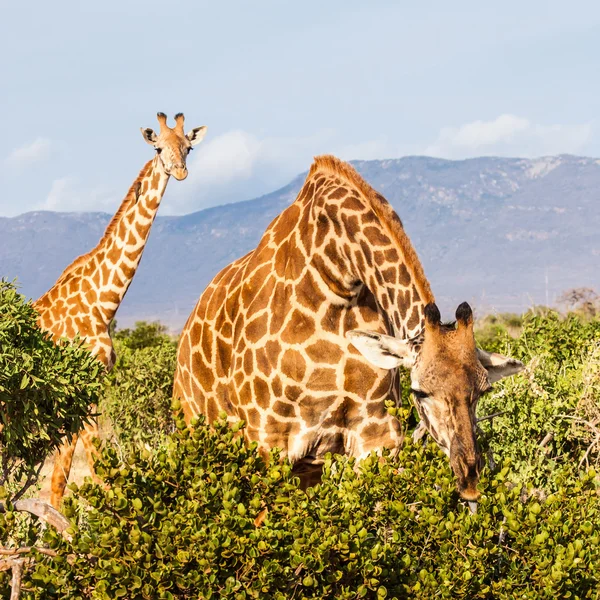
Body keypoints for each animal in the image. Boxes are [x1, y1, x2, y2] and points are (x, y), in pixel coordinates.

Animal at [35, 112, 209, 506]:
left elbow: (61, 478)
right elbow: (98, 471)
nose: (180, 172)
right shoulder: (81, 387)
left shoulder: (90, 388)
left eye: (188, 147)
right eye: (158, 147)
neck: (102, 302)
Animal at [172, 152, 520, 500]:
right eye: (419, 392)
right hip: (200, 432)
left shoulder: (376, 435)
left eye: (484, 390)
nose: (469, 480)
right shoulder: (268, 441)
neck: (336, 274)